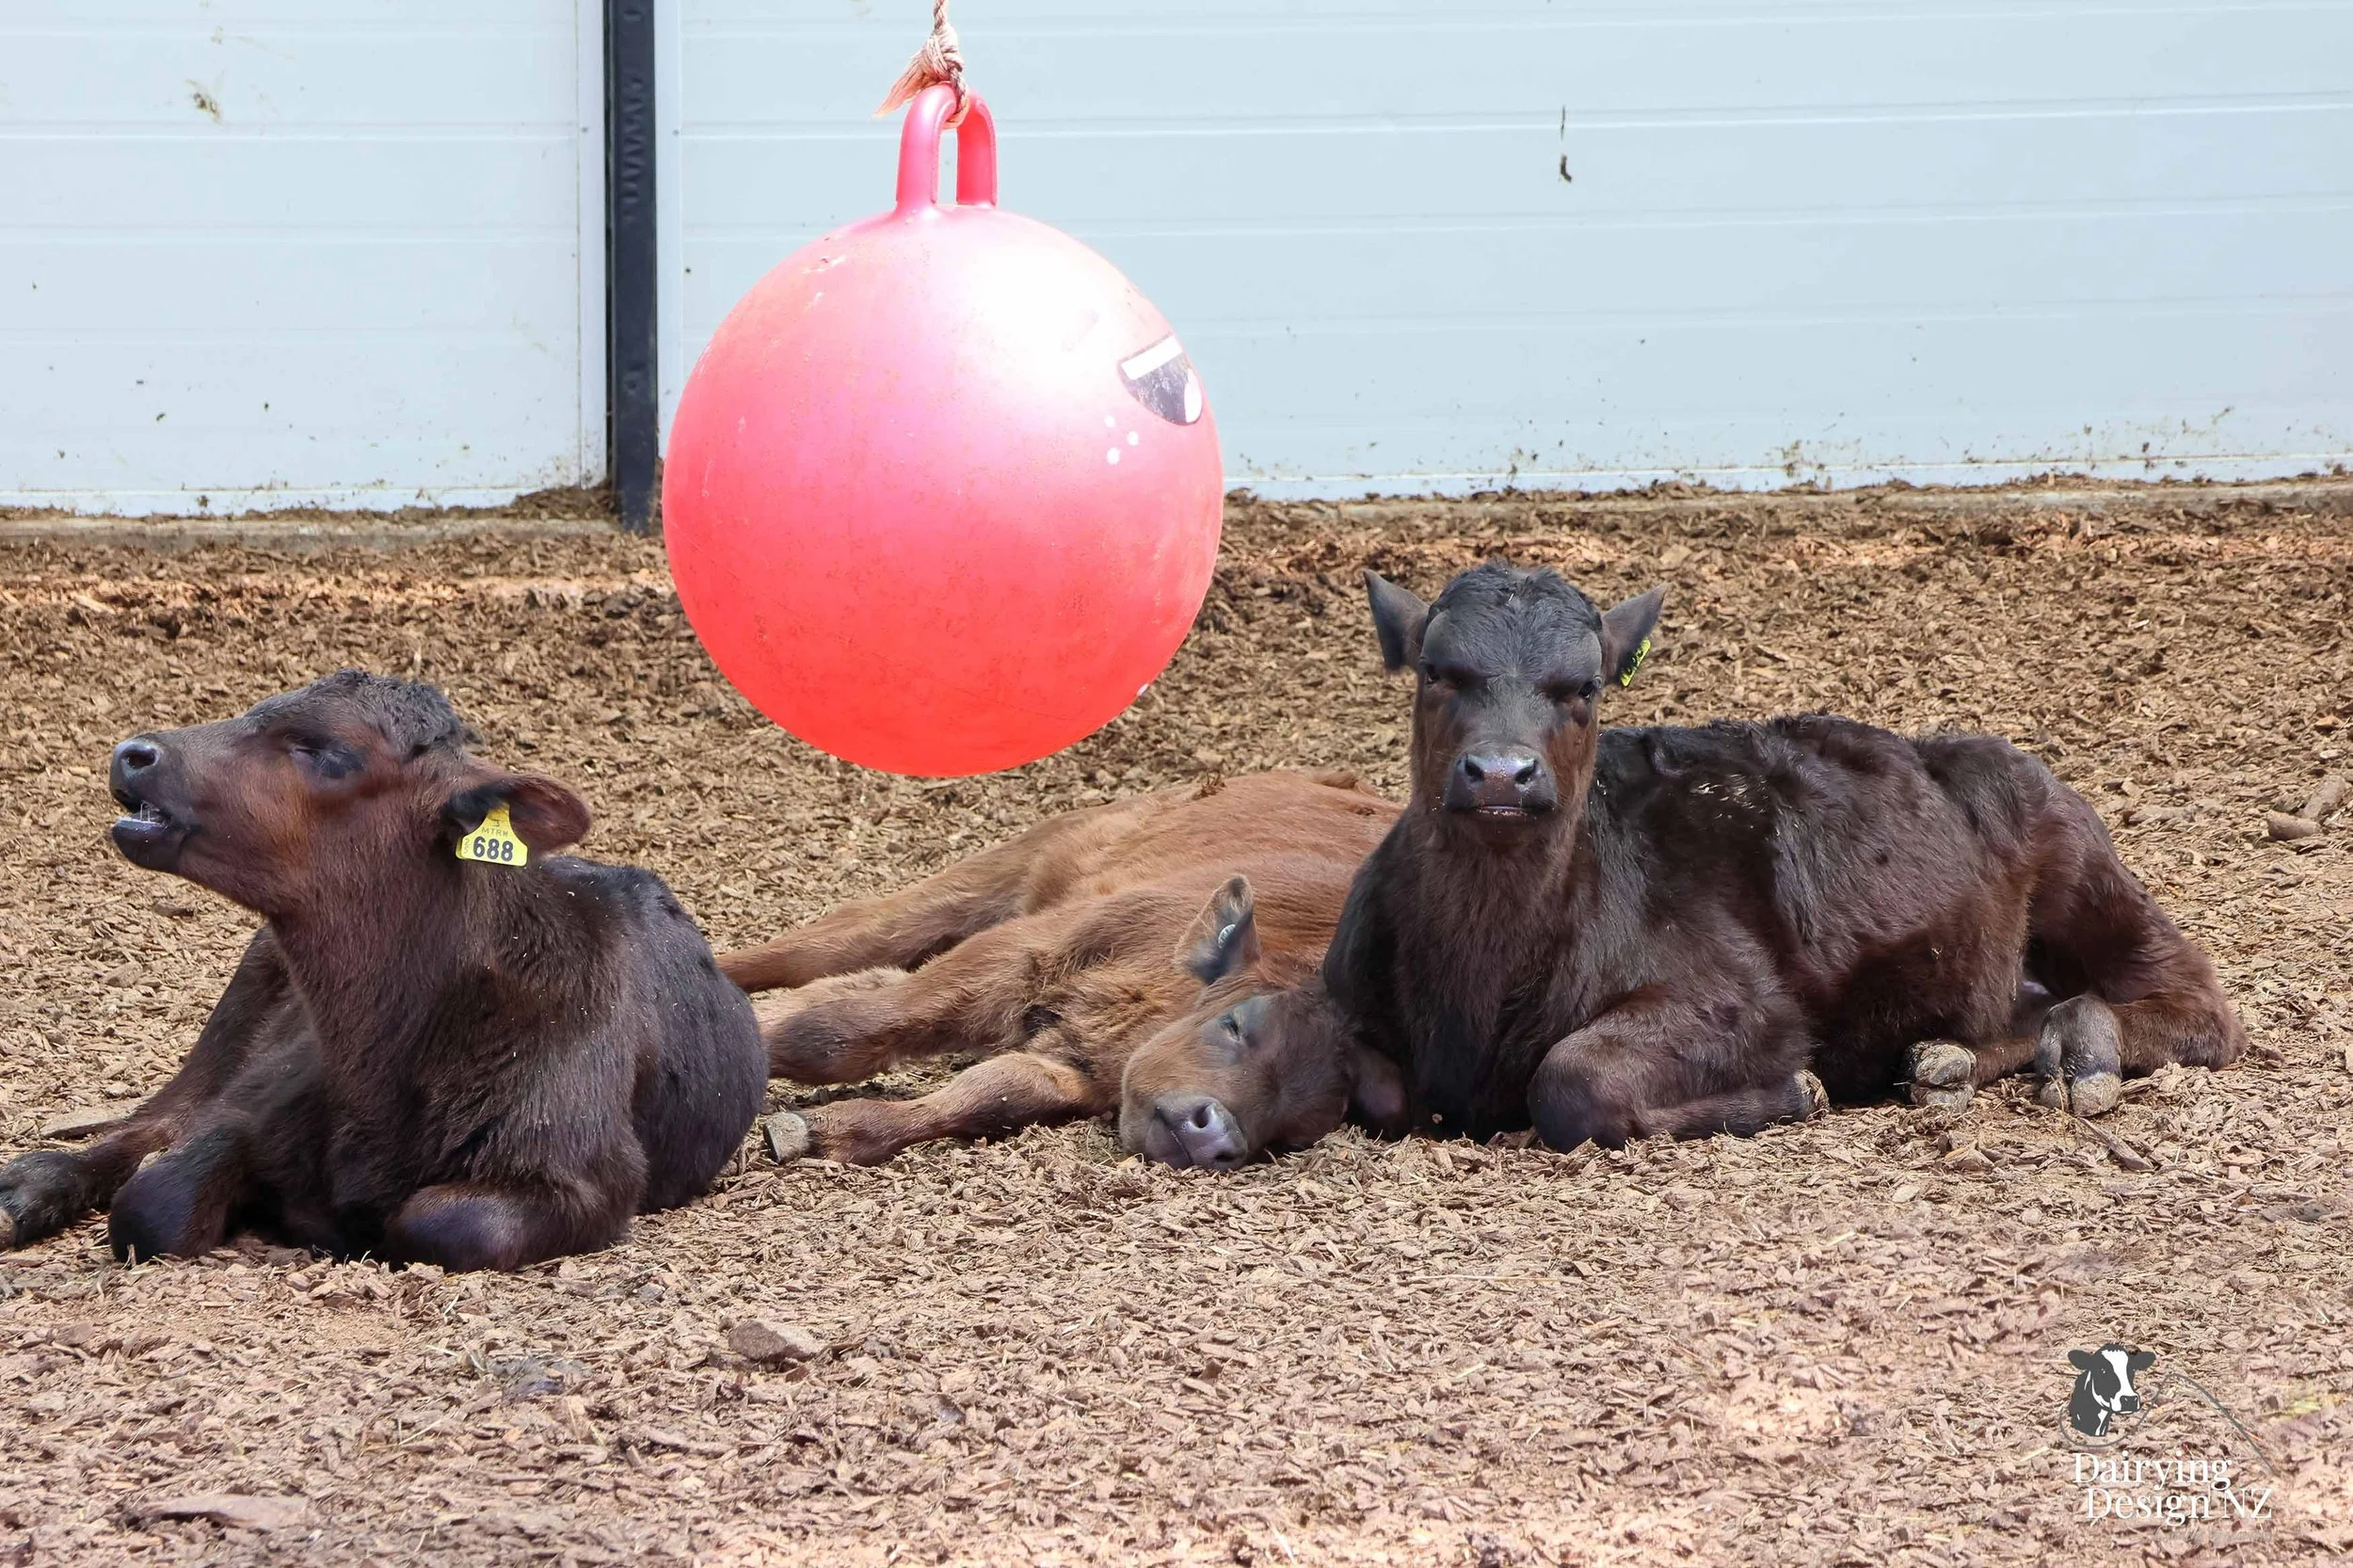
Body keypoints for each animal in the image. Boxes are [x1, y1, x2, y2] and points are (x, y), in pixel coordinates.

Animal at [0, 672, 765, 1271]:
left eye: (328, 753)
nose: (133, 754)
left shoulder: (590, 1177)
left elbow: (443, 1223)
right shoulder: (254, 1099)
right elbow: (153, 1200)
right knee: (149, 1125)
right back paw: (25, 1190)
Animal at [718, 771, 1401, 1167]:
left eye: (1292, 1133)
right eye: (1235, 1025)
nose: (1215, 1135)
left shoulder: (1073, 1069)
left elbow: (991, 1094)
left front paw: (815, 1131)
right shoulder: (1019, 952)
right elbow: (836, 1031)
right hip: (1008, 868)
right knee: (840, 939)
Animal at [1111, 562, 2246, 1162]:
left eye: (1582, 688)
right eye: (1438, 671)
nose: (1500, 773)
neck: (1477, 987)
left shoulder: (1742, 1000)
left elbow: (1572, 1081)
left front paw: (1790, 1093)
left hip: (2076, 855)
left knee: (2197, 1003)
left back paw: (2084, 1044)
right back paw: (1952, 1058)